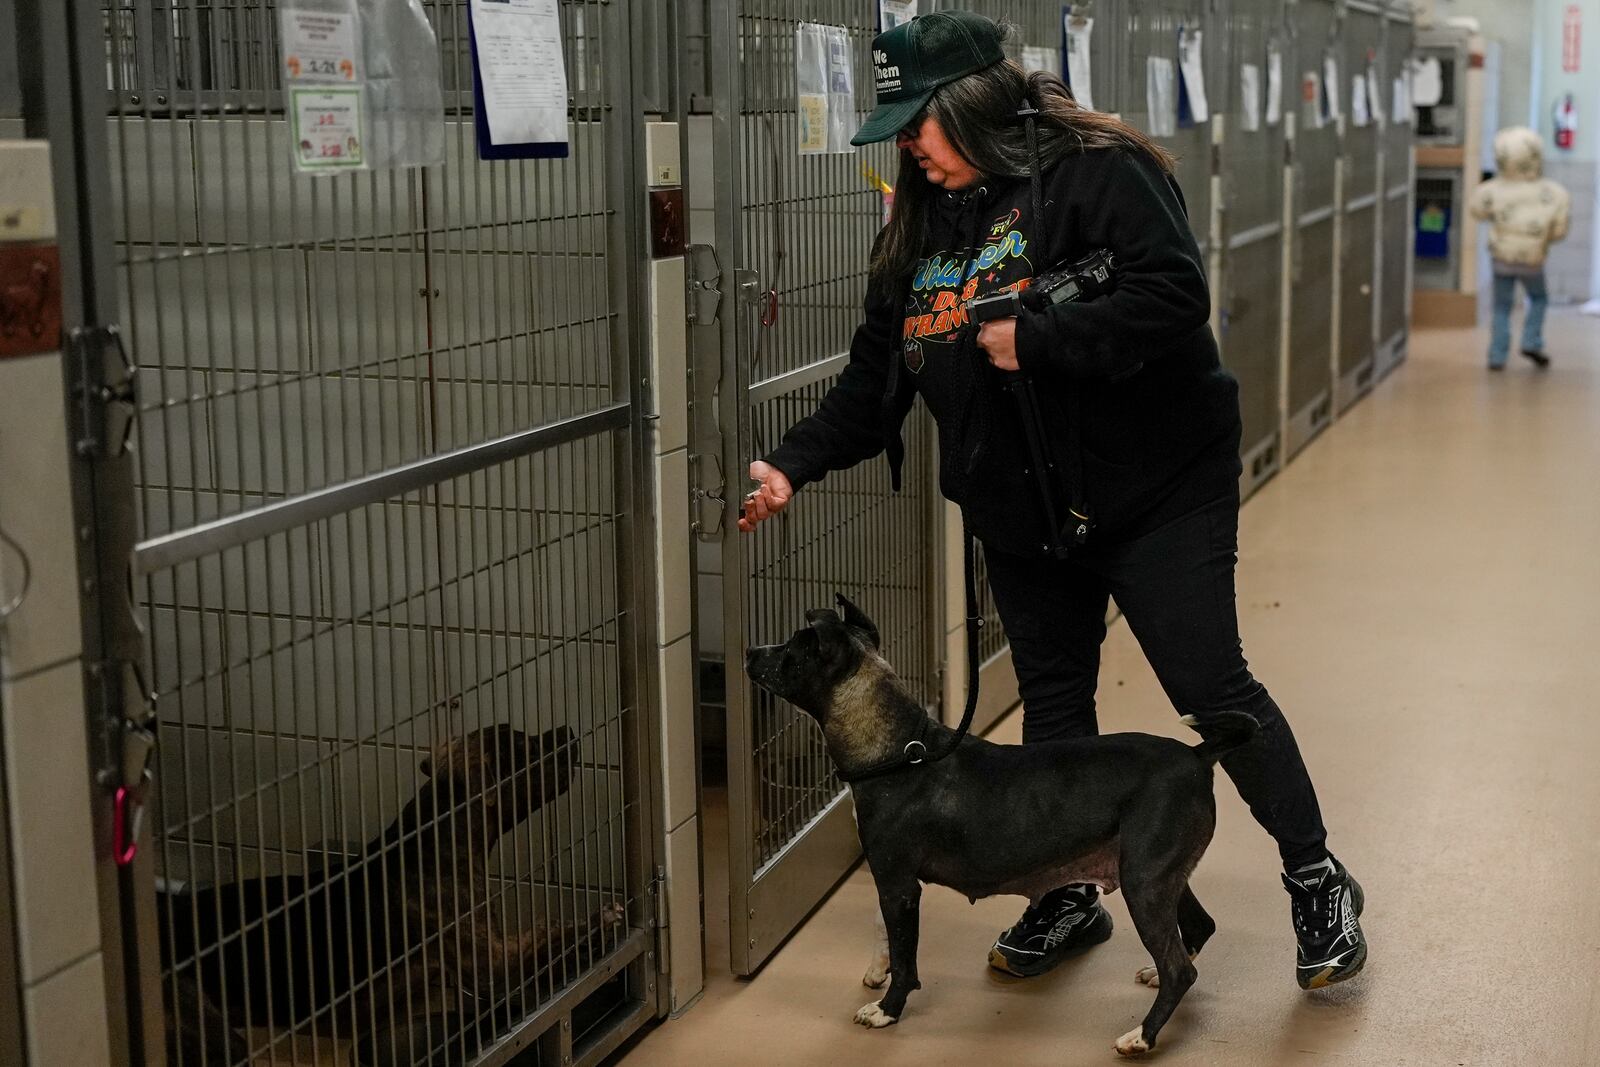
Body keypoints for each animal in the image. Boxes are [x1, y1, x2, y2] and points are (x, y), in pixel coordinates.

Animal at [159, 726, 624, 1067]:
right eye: (524, 745)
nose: (568, 732)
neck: (440, 842)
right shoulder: (490, 959)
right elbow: (547, 930)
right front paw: (597, 921)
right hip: (218, 1039)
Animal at [748, 598, 1260, 1055]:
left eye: (791, 648)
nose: (751, 650)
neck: (899, 751)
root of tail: (1198, 755)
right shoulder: (889, 878)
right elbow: (884, 931)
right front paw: (878, 971)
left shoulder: (898, 884)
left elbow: (906, 955)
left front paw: (887, 1009)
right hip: (1159, 874)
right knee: (1197, 929)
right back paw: (1154, 982)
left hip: (1145, 883)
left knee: (1180, 969)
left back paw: (1142, 1036)